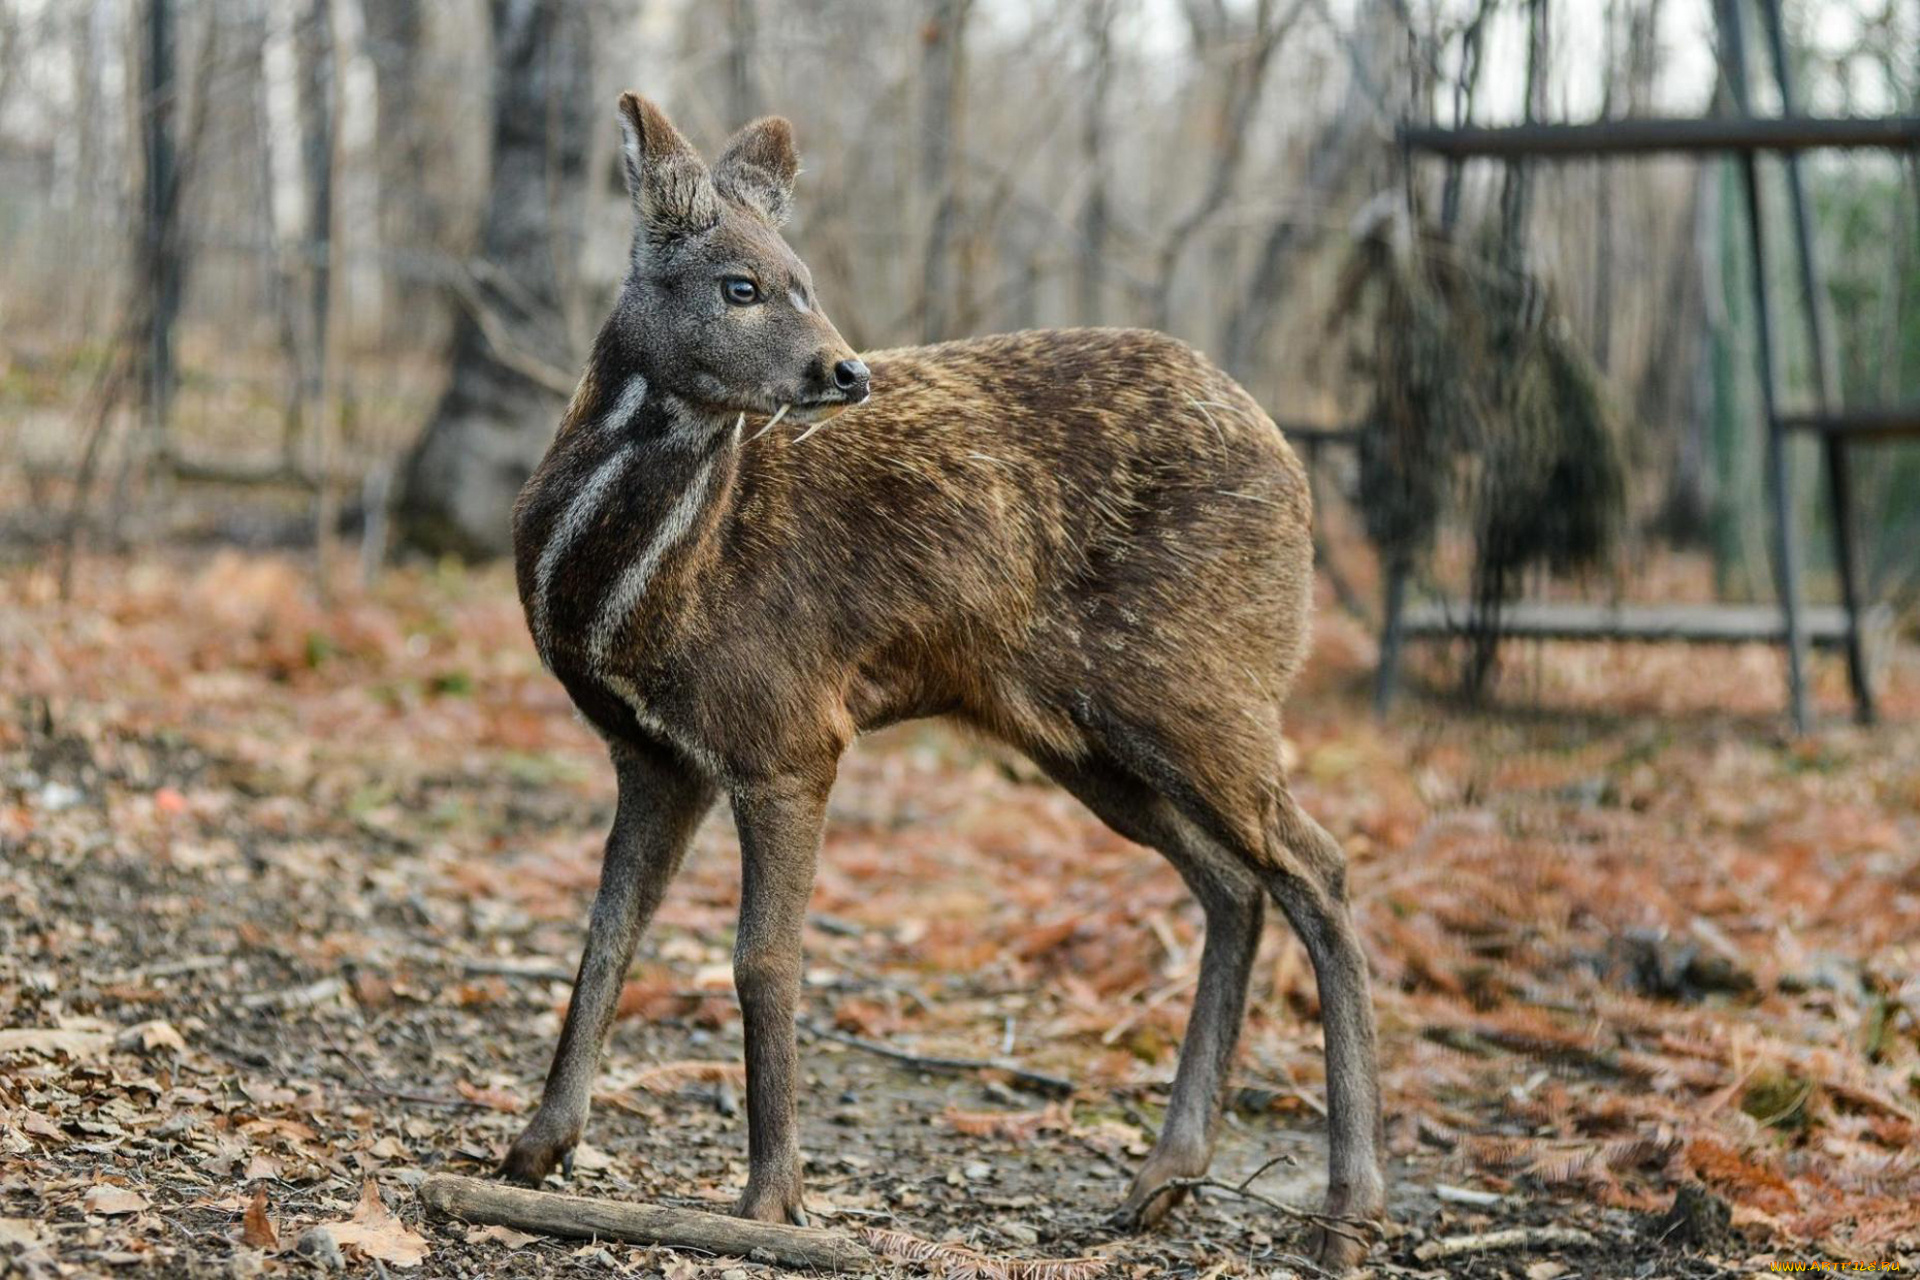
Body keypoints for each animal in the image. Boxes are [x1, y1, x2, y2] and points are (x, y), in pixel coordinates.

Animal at [499, 93, 1385, 1272]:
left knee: (1317, 867)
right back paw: (1161, 1178)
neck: (636, 593)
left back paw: (1349, 1208)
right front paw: (536, 1146)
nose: (846, 371)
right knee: (1234, 882)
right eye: (740, 284)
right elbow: (607, 936)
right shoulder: (653, 754)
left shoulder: (789, 729)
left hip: (1203, 685)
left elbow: (762, 957)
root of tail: (1294, 469)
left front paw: (770, 1198)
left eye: (804, 276)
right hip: (1080, 730)